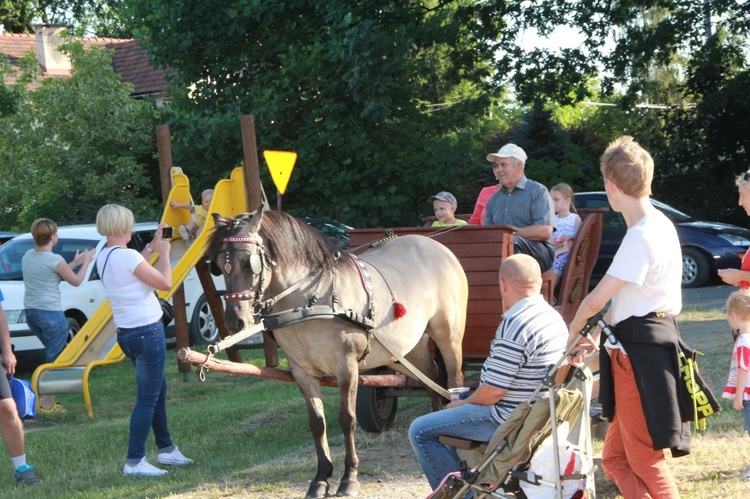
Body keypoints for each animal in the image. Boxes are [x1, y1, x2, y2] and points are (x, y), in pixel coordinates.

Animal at [209, 209, 468, 498]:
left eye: (248, 262)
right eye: (217, 265)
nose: (235, 322)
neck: (309, 300)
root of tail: (435, 246)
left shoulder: (347, 366)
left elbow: (347, 419)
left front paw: (349, 478)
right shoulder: (302, 372)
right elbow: (317, 423)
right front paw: (321, 478)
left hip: (448, 335)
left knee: (453, 381)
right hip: (411, 348)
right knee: (432, 380)